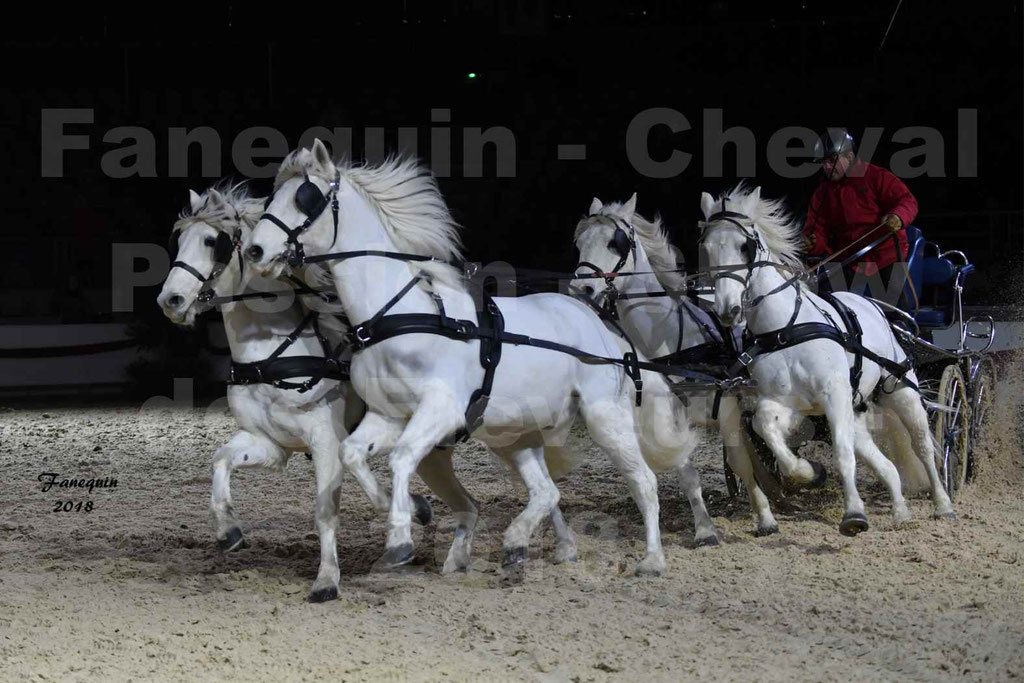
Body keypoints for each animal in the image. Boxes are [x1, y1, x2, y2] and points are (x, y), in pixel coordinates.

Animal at [154, 184, 452, 602]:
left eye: (213, 242)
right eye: (180, 240)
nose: (170, 301)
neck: (270, 353)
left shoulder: (326, 440)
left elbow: (326, 511)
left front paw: (327, 580)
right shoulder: (270, 442)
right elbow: (220, 460)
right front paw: (229, 531)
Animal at [243, 141, 700, 581]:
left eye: (306, 199)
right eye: (272, 195)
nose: (254, 250)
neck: (399, 314)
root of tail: (603, 326)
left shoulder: (442, 410)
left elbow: (401, 457)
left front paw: (400, 540)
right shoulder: (388, 415)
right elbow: (353, 453)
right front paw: (414, 510)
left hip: (605, 417)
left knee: (644, 482)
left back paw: (653, 560)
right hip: (514, 435)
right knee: (547, 491)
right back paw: (518, 544)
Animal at [696, 185, 950, 532]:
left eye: (744, 246)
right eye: (706, 248)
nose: (726, 310)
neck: (785, 328)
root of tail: (870, 303)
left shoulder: (833, 395)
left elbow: (843, 455)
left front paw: (854, 514)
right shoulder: (790, 403)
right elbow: (765, 425)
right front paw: (810, 473)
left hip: (899, 390)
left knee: (922, 445)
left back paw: (942, 504)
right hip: (854, 410)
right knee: (881, 460)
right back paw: (900, 510)